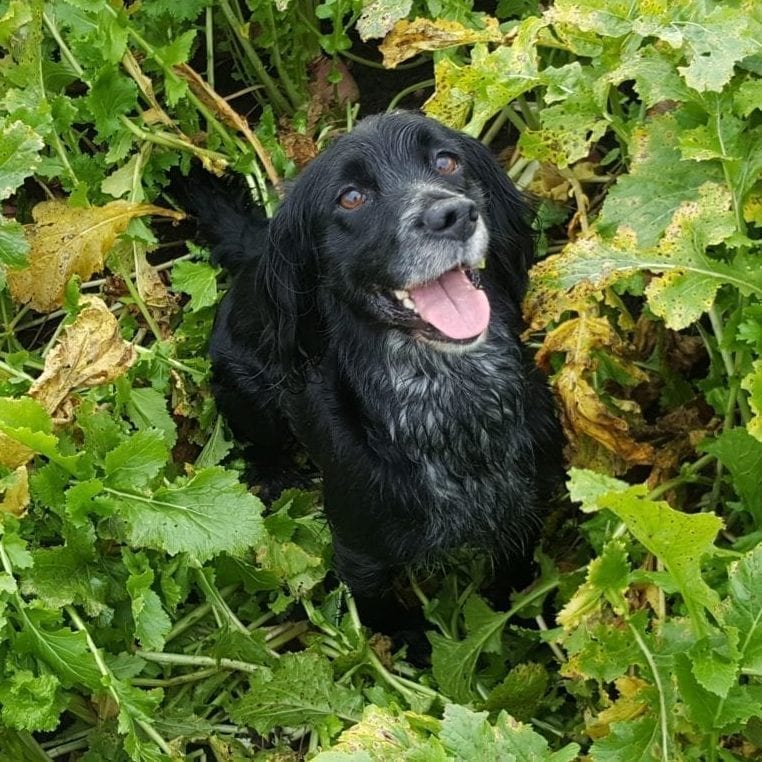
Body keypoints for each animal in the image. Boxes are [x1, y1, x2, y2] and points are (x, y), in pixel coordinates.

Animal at [187, 113, 560, 596]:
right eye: (351, 198)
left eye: (446, 161)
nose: (452, 215)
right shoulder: (361, 557)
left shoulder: (525, 518)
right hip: (245, 391)